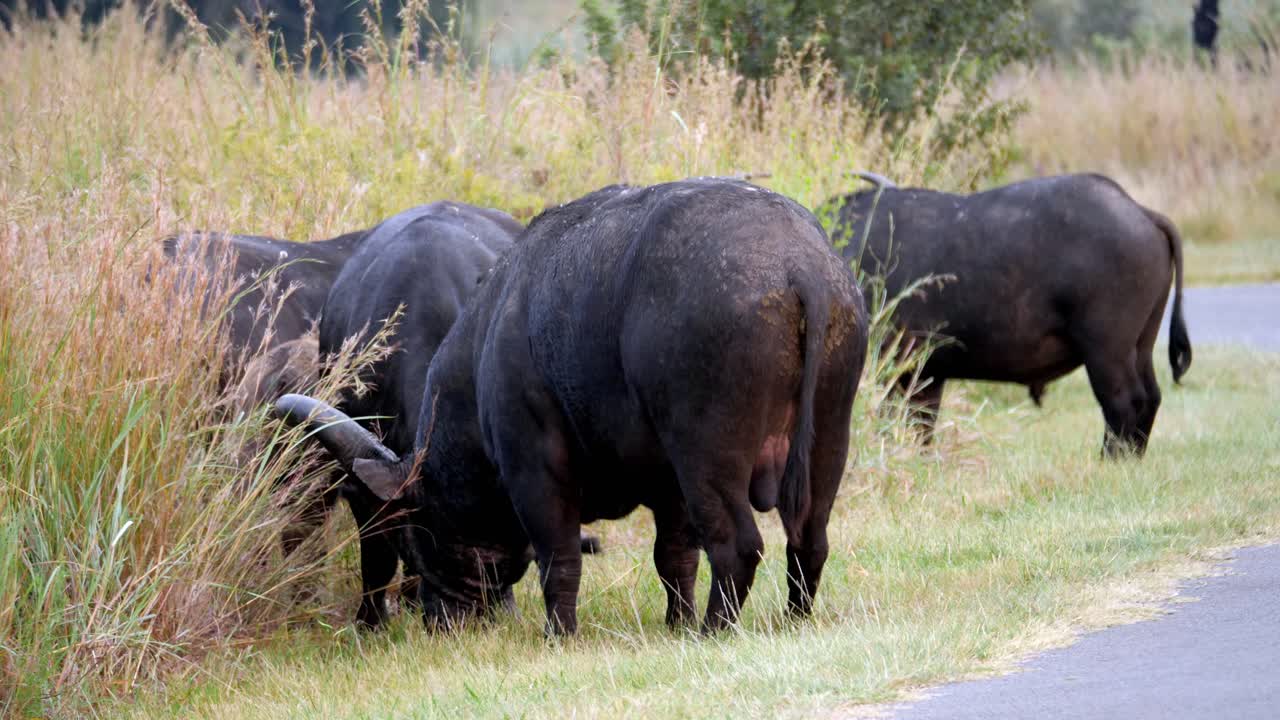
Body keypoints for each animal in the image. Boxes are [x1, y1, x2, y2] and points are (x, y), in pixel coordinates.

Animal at [273, 179, 865, 632]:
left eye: (422, 528)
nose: (442, 618)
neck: (488, 342)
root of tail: (797, 265)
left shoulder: (536, 471)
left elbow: (558, 558)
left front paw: (559, 633)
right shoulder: (667, 484)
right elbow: (674, 556)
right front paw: (675, 624)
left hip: (707, 455)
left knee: (739, 545)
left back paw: (714, 630)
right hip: (827, 437)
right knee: (809, 538)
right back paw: (791, 620)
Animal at [829, 170, 1187, 453]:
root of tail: (1140, 211)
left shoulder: (898, 364)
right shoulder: (927, 372)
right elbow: (921, 423)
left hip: (1107, 350)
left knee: (1125, 402)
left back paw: (1110, 459)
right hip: (1141, 344)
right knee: (1150, 398)